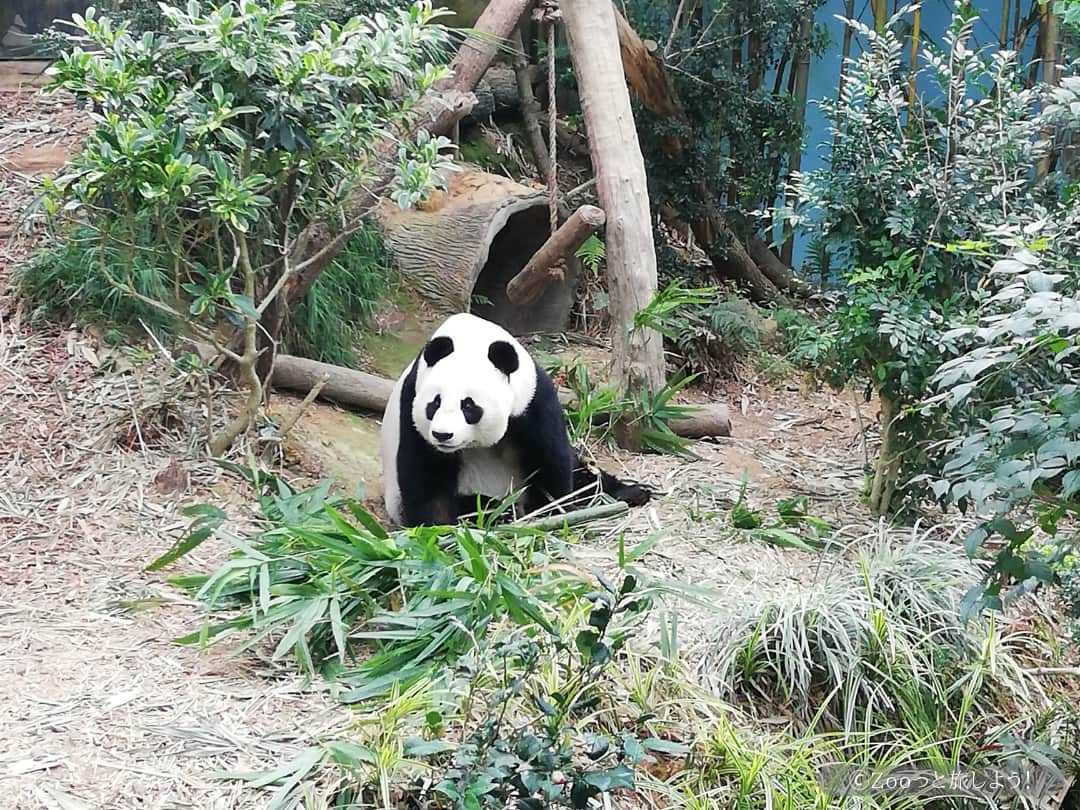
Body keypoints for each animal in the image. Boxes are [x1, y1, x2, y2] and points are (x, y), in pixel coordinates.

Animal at [380, 313, 648, 529]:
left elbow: (550, 458)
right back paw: (503, 512)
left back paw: (633, 492)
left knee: (585, 474)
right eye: (434, 403)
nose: (442, 435)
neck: (470, 339)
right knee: (475, 504)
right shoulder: (411, 406)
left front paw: (554, 508)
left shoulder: (533, 400)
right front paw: (438, 526)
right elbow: (426, 477)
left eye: (468, 406)